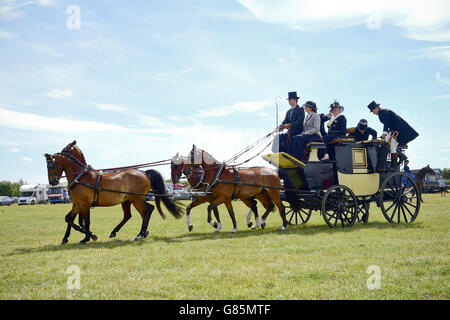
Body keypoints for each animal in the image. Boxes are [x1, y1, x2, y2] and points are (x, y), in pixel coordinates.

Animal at [45, 141, 183, 245]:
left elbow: (85, 221)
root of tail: (144, 172)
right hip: (128, 201)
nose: (52, 182)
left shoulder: (84, 204)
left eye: (51, 165)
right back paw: (134, 233)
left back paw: (140, 234)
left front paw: (89, 237)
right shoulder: (77, 204)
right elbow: (70, 218)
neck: (81, 176)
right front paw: (67, 238)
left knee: (148, 210)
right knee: (133, 215)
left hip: (136, 199)